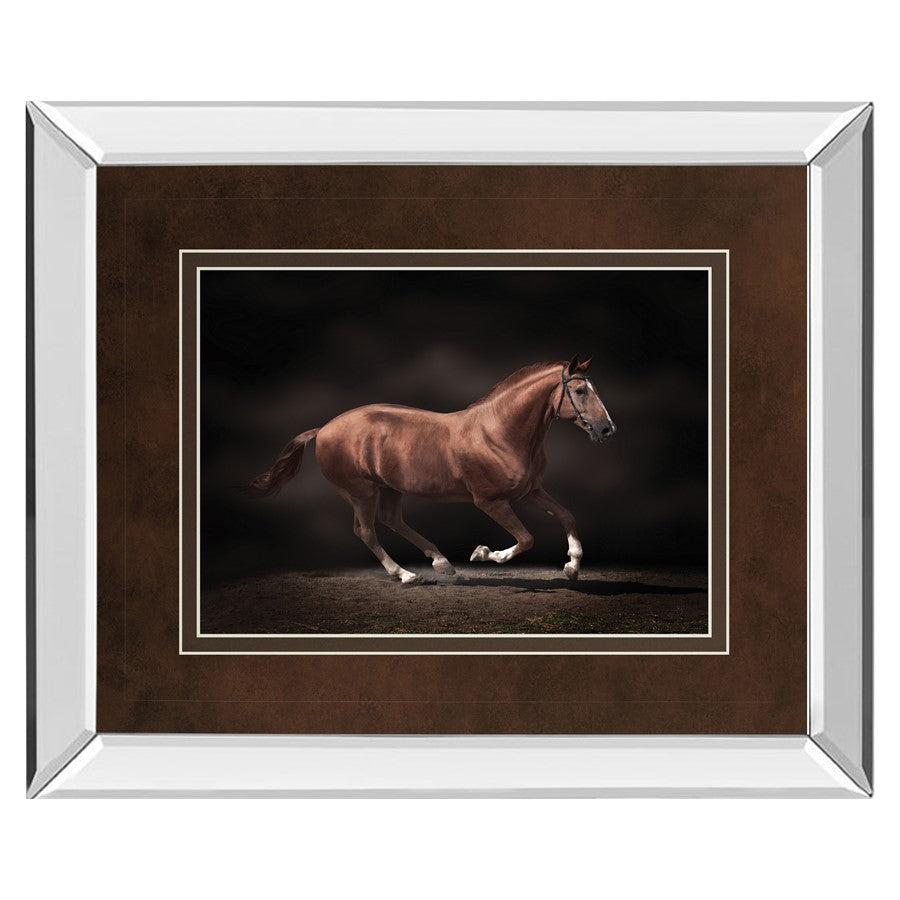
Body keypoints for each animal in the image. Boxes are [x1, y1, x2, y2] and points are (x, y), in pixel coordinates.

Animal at [250, 355, 616, 585]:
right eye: (580, 390)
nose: (607, 429)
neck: (500, 432)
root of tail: (324, 428)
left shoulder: (530, 492)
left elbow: (567, 515)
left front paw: (572, 567)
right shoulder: (491, 501)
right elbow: (526, 539)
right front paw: (484, 554)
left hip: (389, 488)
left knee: (392, 521)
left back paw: (441, 563)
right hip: (361, 492)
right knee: (365, 531)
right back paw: (405, 575)